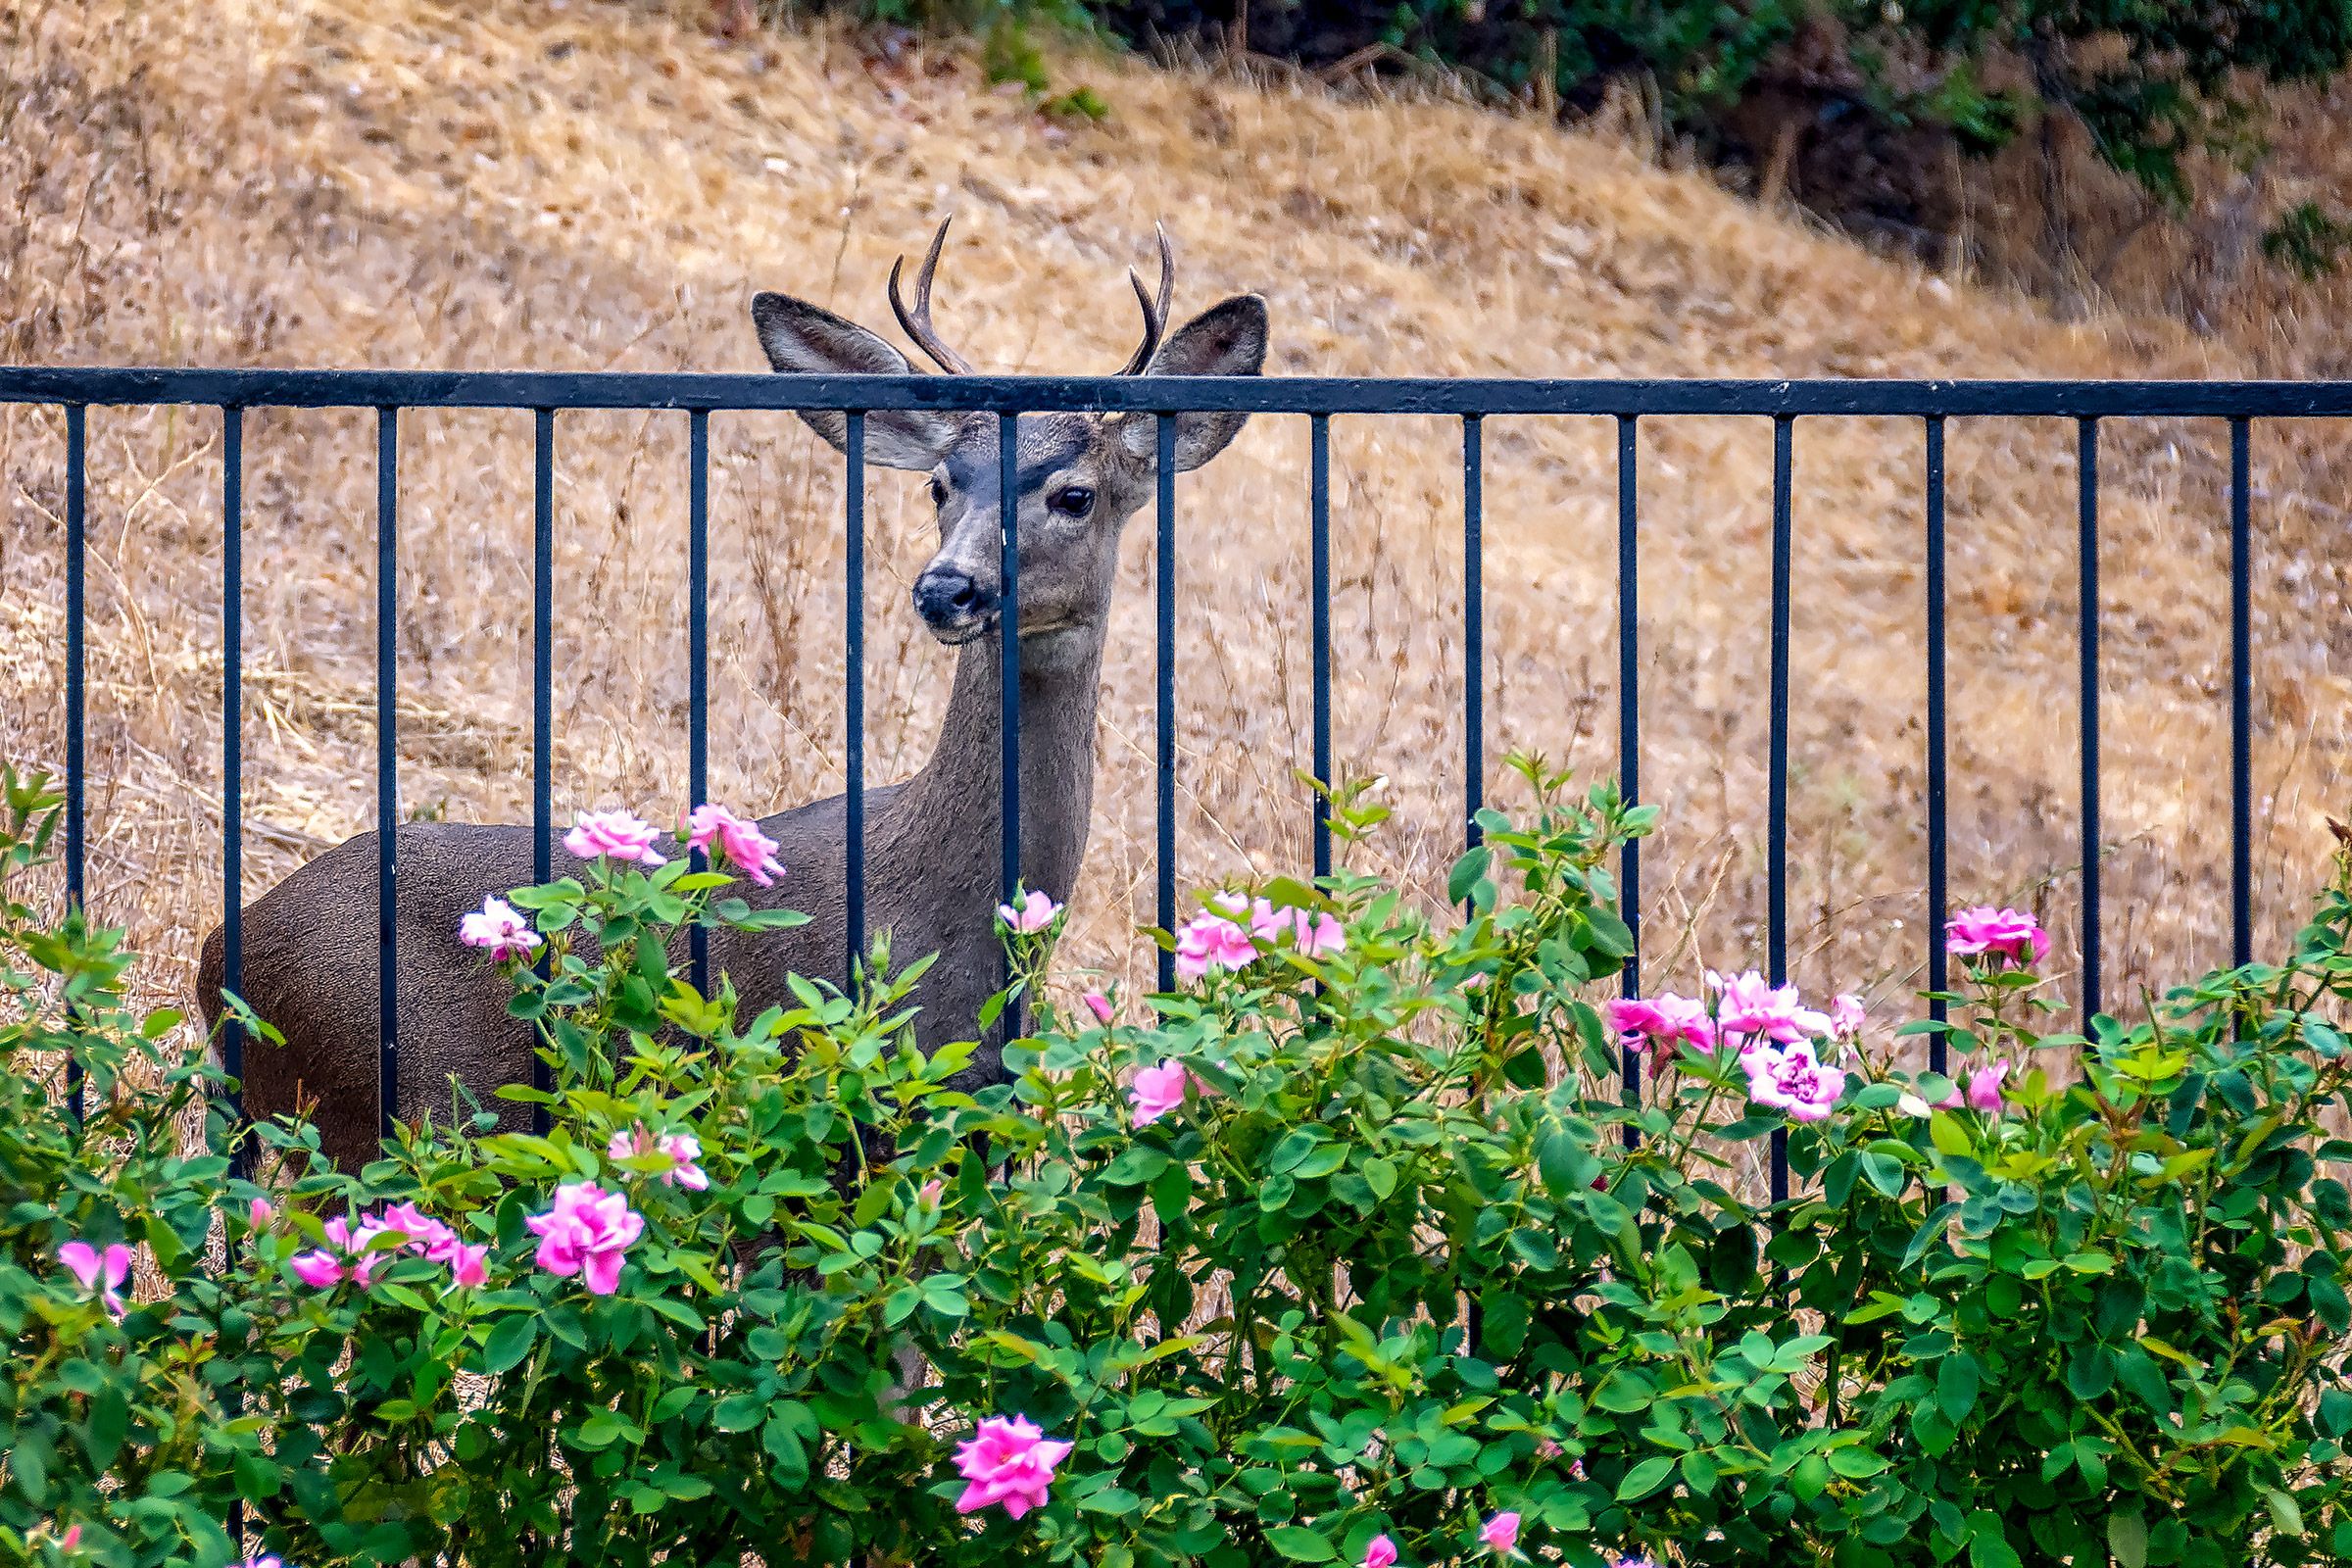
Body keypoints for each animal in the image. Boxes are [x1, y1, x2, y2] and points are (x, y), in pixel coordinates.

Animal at [200, 222, 1270, 1175]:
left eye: (1076, 494)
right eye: (939, 484)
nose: (947, 589)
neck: (946, 921)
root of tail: (218, 960)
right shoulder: (813, 1101)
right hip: (377, 1109)